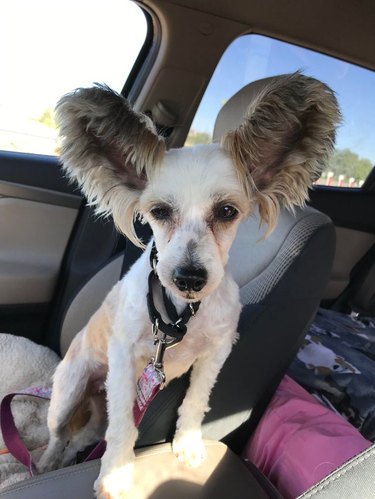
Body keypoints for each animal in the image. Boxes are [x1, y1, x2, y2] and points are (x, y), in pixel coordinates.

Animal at [37, 72, 340, 498]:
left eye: (227, 211)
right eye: (159, 211)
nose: (190, 277)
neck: (180, 313)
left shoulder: (217, 351)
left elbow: (196, 400)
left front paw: (188, 443)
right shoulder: (124, 358)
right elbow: (123, 425)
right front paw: (116, 473)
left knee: (81, 438)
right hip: (69, 390)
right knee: (59, 433)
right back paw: (48, 460)